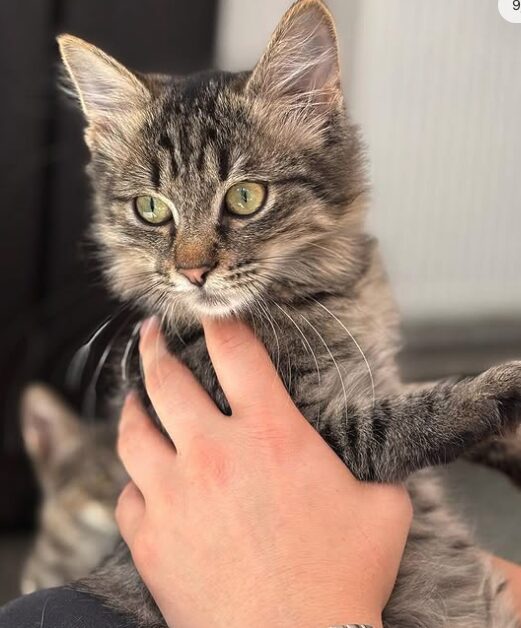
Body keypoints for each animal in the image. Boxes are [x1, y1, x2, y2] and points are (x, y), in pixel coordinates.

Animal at [58, 0, 520, 624]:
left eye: (245, 197)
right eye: (151, 209)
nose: (193, 271)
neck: (326, 289)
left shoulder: (377, 370)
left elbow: (418, 390)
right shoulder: (320, 435)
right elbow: (410, 416)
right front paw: (503, 386)